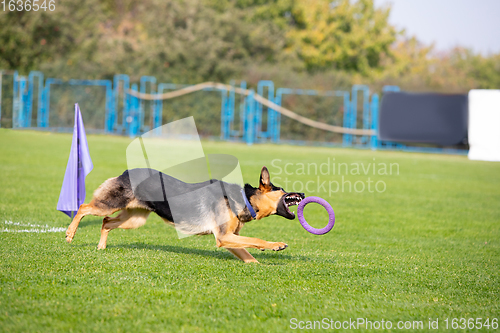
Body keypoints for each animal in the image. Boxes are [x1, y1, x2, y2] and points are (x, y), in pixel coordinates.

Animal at [65, 166, 304, 262]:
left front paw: (258, 264)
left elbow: (249, 254)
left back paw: (101, 247)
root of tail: (126, 172)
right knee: (84, 207)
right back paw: (70, 233)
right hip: (110, 205)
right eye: (282, 189)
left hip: (134, 219)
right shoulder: (224, 237)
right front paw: (275, 245)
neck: (245, 199)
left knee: (106, 222)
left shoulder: (228, 239)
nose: (302, 193)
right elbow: (256, 239)